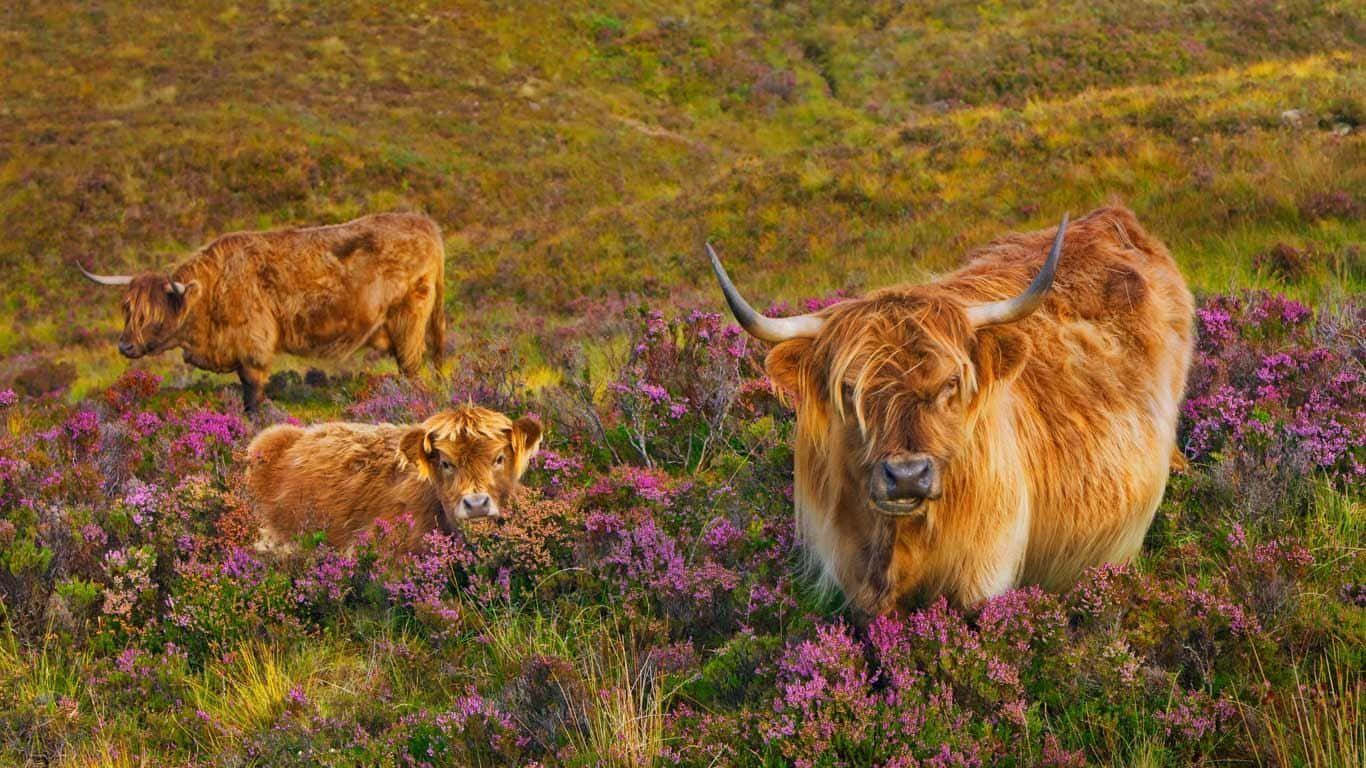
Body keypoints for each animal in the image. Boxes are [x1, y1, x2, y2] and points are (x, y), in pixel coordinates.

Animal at [79, 212, 446, 411]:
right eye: (128, 310)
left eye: (152, 315)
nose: (125, 345)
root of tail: (425, 224)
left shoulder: (252, 344)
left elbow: (252, 390)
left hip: (408, 320)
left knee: (413, 368)